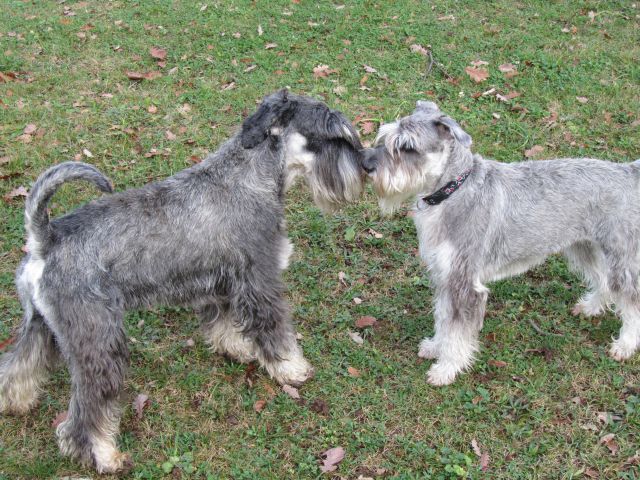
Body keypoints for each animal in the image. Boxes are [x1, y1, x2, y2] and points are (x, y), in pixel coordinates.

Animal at [1, 90, 364, 472]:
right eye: (332, 135)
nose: (366, 166)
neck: (251, 175)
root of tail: (45, 239)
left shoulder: (220, 284)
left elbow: (224, 323)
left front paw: (237, 348)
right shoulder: (259, 281)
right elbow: (274, 330)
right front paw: (291, 368)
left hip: (43, 325)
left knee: (19, 363)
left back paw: (13, 401)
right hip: (97, 339)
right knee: (87, 409)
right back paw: (105, 454)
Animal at [362, 101, 640, 386]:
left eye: (407, 147)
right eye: (385, 136)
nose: (365, 164)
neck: (452, 190)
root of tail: (628, 171)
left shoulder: (465, 285)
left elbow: (457, 331)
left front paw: (447, 368)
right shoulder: (446, 278)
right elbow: (443, 318)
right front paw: (435, 346)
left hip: (620, 255)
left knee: (631, 299)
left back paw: (625, 345)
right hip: (583, 247)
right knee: (604, 281)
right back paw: (591, 307)